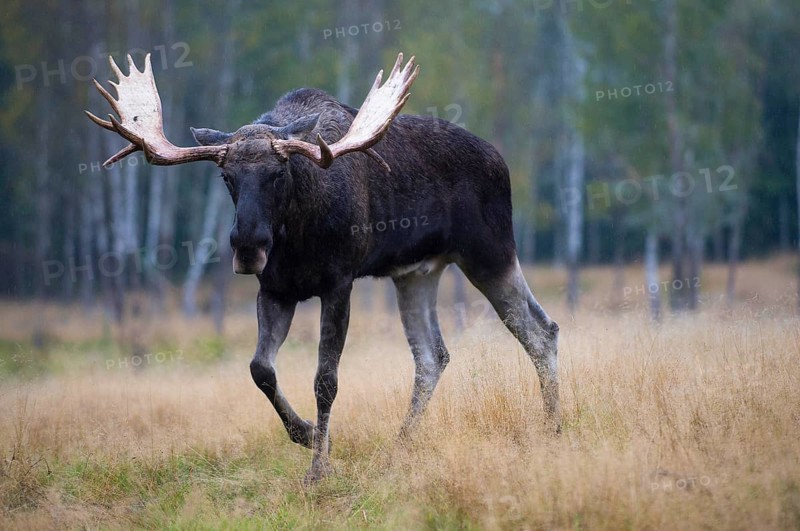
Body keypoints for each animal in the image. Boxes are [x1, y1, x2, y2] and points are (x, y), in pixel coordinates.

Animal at [86, 53, 561, 483]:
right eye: (226, 177)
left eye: (280, 172)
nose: (247, 246)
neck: (297, 234)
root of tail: (501, 160)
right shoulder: (275, 290)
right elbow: (260, 369)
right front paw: (308, 432)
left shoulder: (338, 283)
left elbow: (325, 380)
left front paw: (319, 468)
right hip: (416, 273)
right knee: (433, 355)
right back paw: (400, 445)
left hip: (489, 251)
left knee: (541, 331)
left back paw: (553, 427)